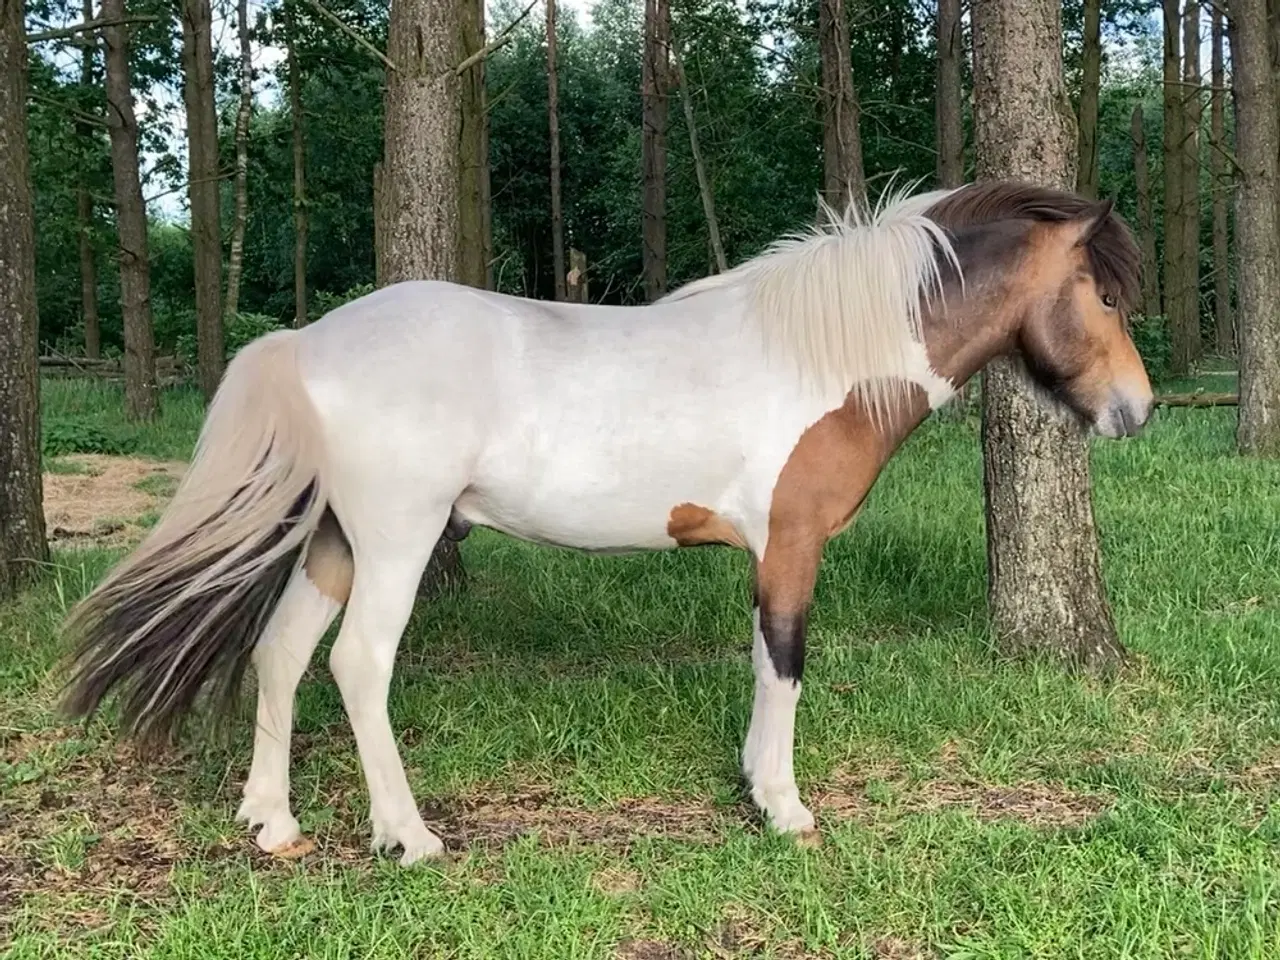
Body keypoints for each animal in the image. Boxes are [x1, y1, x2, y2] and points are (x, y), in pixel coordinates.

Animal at [60, 176, 1157, 870]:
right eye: (1103, 294)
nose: (1135, 411)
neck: (823, 359)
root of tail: (310, 339)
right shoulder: (791, 544)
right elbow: (785, 663)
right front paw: (784, 808)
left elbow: (762, 662)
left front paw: (755, 788)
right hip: (397, 541)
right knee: (356, 665)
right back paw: (410, 838)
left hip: (334, 543)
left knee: (282, 653)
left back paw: (273, 823)